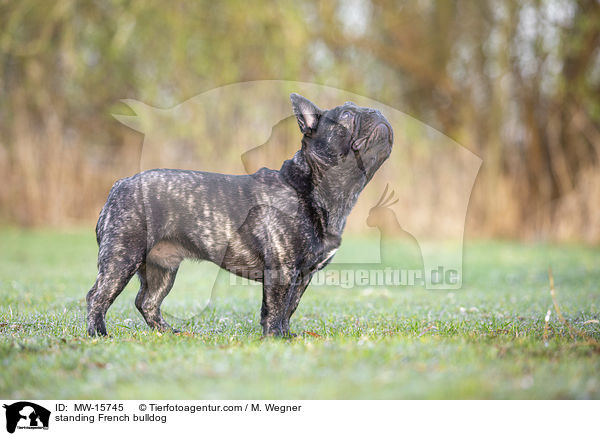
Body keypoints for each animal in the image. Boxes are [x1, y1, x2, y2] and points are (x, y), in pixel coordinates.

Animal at [85, 93, 394, 338]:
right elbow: (275, 307)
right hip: (122, 256)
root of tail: (120, 184)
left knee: (147, 301)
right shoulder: (281, 271)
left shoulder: (302, 275)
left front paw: (287, 335)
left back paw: (168, 332)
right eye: (347, 116)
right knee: (98, 295)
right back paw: (98, 333)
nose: (377, 112)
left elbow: (289, 308)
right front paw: (274, 338)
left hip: (162, 268)